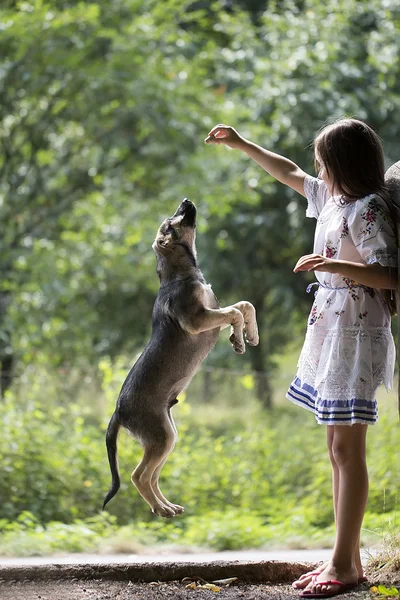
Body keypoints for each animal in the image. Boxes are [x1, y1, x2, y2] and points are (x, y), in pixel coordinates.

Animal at [102, 199, 260, 516]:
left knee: (151, 476)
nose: (186, 201)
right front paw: (239, 339)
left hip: (167, 436)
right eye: (170, 221)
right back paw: (161, 509)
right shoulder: (198, 319)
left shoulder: (212, 314)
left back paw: (165, 506)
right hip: (161, 436)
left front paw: (248, 335)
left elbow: (244, 305)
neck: (180, 273)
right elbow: (235, 311)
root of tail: (118, 412)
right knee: (138, 475)